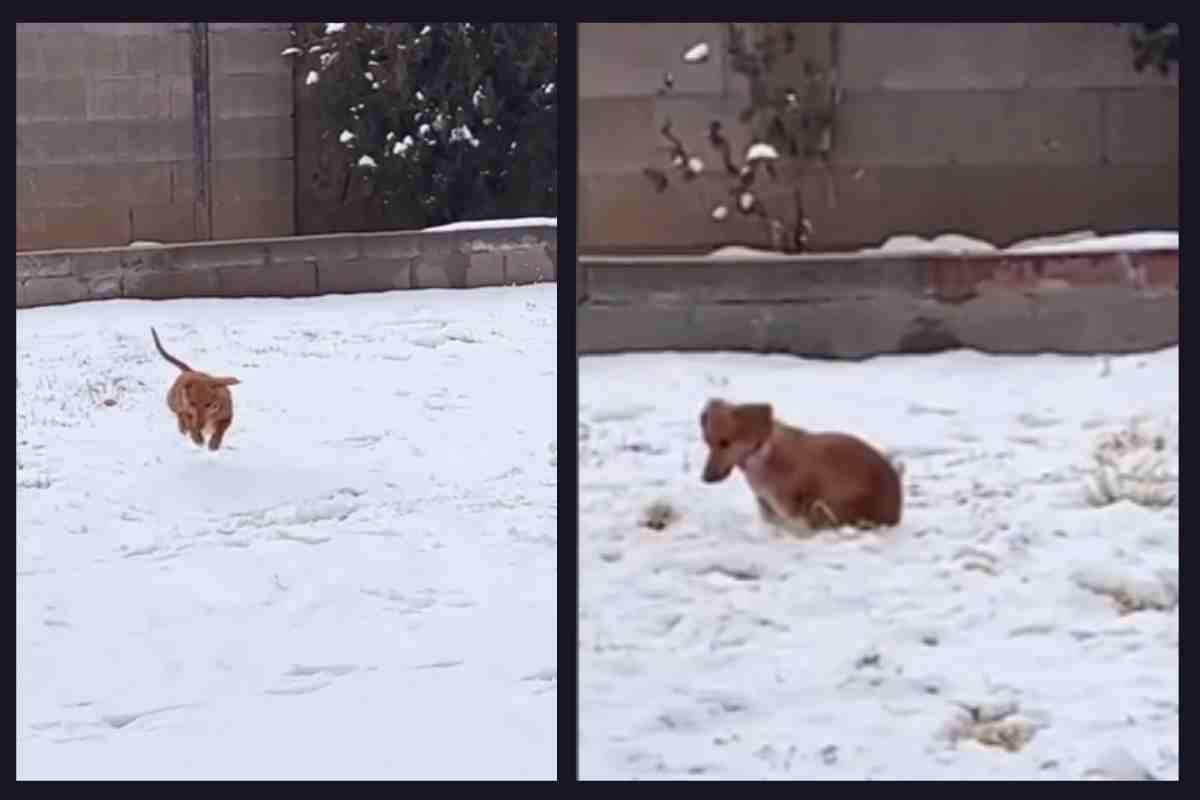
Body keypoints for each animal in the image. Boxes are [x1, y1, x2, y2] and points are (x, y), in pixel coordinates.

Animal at [700, 398, 902, 532]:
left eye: (725, 443)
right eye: (707, 441)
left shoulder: (790, 509)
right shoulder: (766, 505)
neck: (761, 454)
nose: (705, 478)